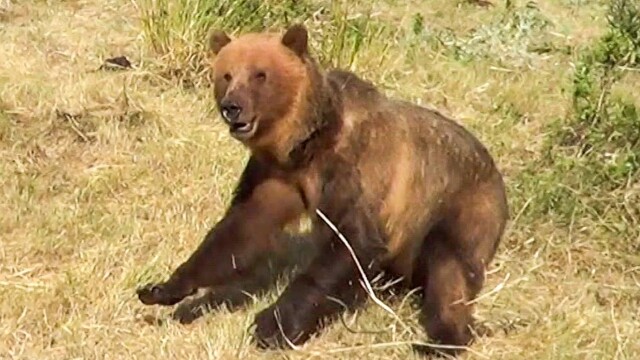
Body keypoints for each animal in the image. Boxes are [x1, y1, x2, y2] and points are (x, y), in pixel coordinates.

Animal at [136, 23, 510, 358]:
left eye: (260, 75)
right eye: (226, 75)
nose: (232, 107)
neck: (306, 142)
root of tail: (495, 168)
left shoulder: (357, 171)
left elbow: (352, 241)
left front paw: (272, 324)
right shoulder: (277, 175)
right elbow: (240, 231)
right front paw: (161, 288)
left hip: (460, 208)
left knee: (450, 269)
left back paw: (441, 340)